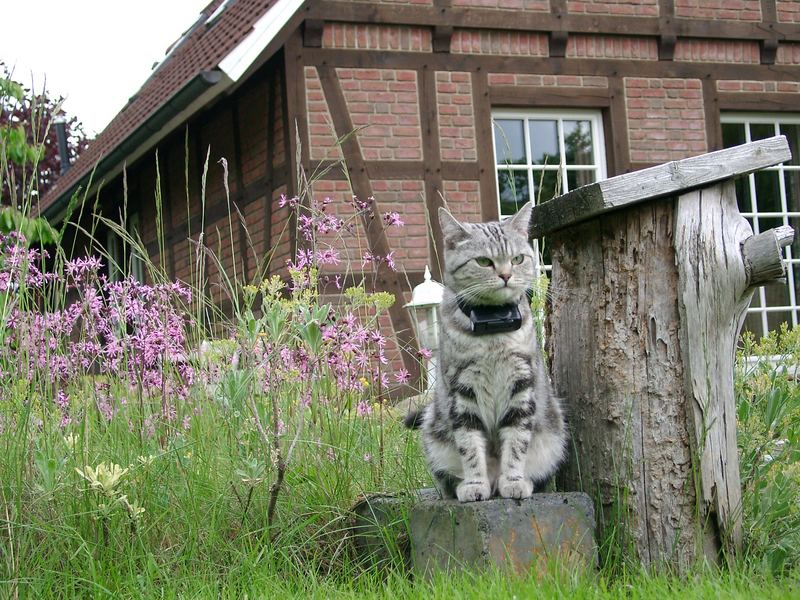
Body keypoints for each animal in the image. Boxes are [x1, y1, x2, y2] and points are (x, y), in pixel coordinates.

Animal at [404, 204, 564, 504]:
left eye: (517, 258)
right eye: (483, 262)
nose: (506, 275)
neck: (494, 330)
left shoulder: (521, 386)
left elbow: (516, 443)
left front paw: (513, 481)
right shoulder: (462, 391)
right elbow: (469, 445)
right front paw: (475, 484)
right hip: (433, 434)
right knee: (447, 481)